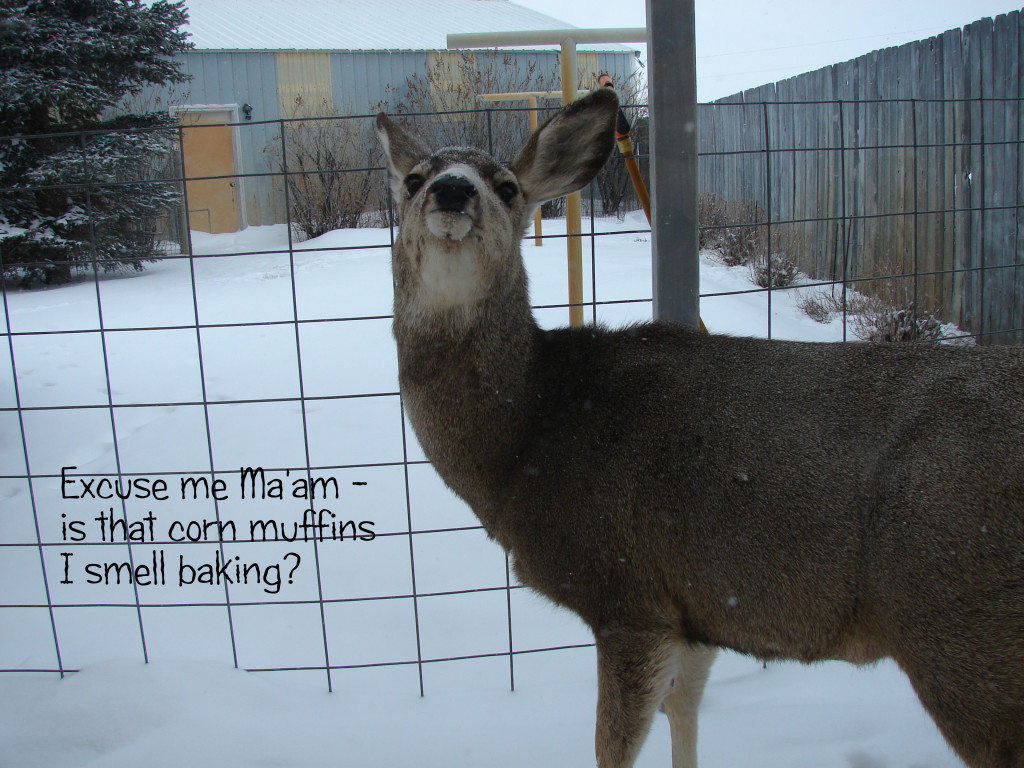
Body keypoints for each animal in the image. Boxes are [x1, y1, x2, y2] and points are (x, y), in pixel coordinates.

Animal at [375, 88, 1024, 768]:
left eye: (505, 187)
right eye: (413, 179)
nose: (451, 190)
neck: (529, 437)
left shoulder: (629, 597)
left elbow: (613, 748)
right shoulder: (697, 608)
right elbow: (683, 712)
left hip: (963, 635)